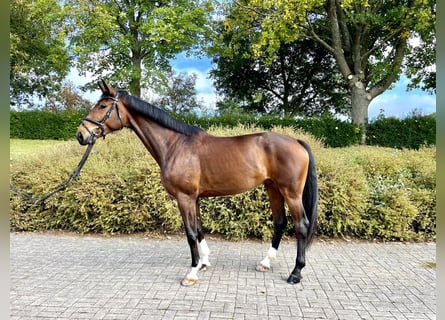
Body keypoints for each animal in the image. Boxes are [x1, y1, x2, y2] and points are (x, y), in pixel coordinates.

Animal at [77, 81, 320, 286]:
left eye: (103, 105)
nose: (81, 135)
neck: (175, 145)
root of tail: (296, 141)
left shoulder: (184, 198)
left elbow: (190, 233)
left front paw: (191, 273)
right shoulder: (194, 198)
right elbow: (200, 229)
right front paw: (204, 263)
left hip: (291, 193)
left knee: (301, 226)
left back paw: (295, 273)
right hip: (273, 188)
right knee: (279, 222)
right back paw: (265, 263)